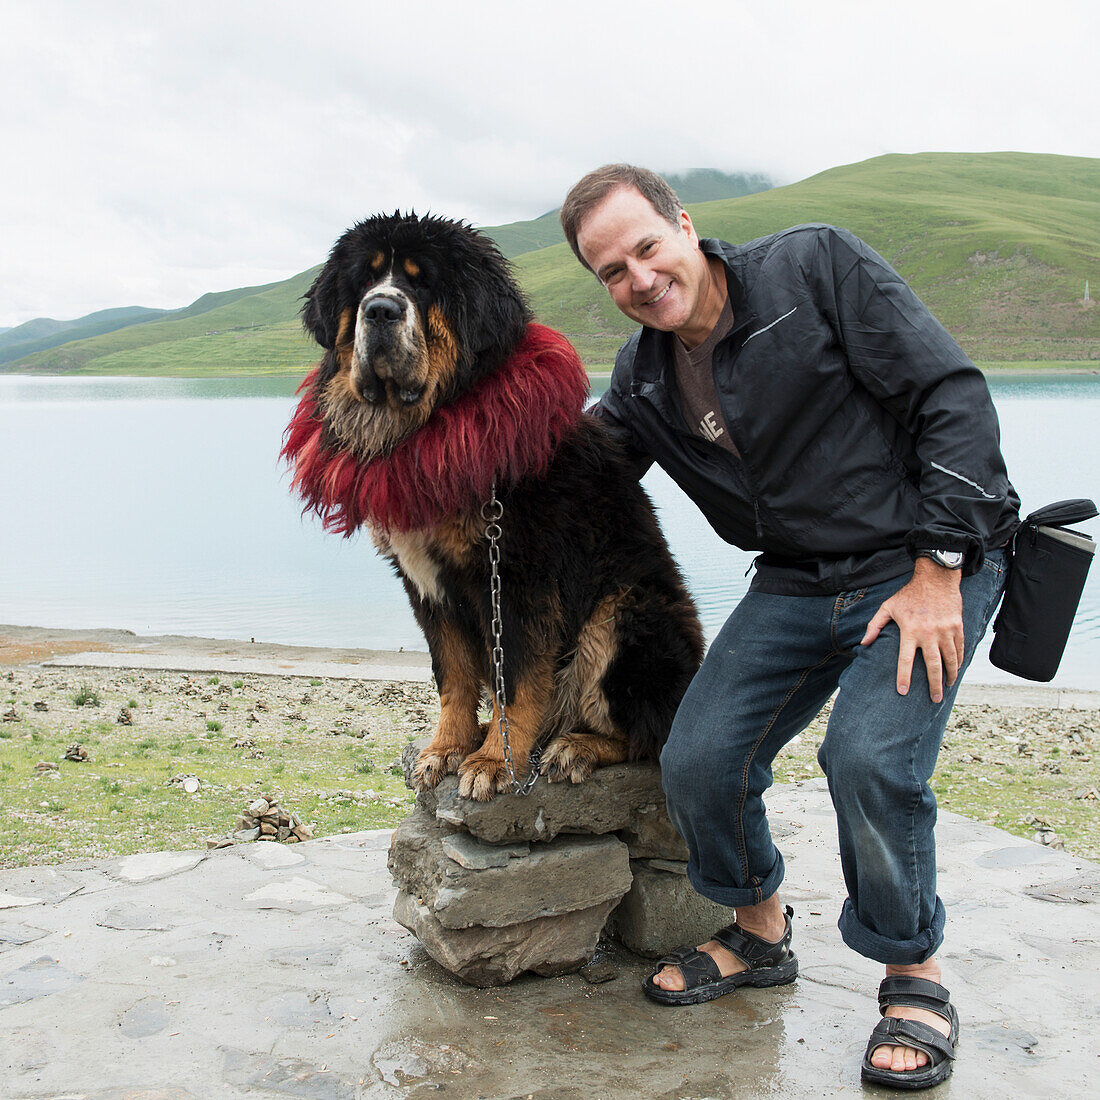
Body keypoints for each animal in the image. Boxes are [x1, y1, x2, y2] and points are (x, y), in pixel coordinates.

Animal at [281, 212, 695, 800]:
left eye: (423, 284)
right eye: (364, 281)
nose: (379, 309)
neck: (428, 428)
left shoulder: (519, 578)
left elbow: (514, 683)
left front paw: (495, 761)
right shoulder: (425, 583)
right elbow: (452, 676)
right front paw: (448, 747)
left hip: (625, 613)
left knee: (649, 732)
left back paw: (576, 747)